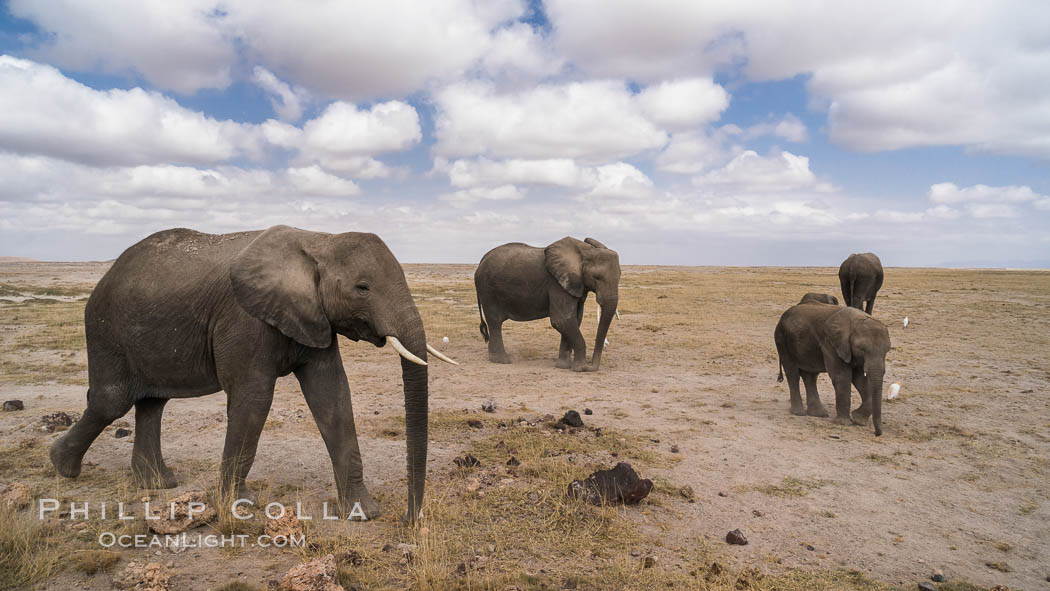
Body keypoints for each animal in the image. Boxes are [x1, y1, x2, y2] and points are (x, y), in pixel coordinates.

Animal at [50, 226, 455, 522]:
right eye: (363, 287)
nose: (409, 519)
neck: (319, 240)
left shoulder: (313, 317)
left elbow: (333, 395)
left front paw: (361, 514)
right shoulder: (245, 320)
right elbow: (254, 399)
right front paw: (239, 504)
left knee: (152, 402)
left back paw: (158, 484)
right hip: (105, 328)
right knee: (111, 401)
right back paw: (62, 467)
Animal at [478, 238, 617, 371]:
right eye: (597, 277)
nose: (590, 366)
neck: (585, 251)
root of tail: (481, 260)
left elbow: (575, 320)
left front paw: (564, 366)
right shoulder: (556, 284)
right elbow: (562, 320)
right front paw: (580, 368)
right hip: (488, 290)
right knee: (495, 322)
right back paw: (502, 361)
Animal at [776, 302, 890, 436]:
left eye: (887, 350)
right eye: (862, 348)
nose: (877, 433)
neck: (855, 321)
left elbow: (859, 379)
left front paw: (858, 420)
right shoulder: (831, 344)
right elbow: (842, 377)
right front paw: (845, 423)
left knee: (810, 376)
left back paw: (818, 414)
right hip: (782, 340)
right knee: (792, 373)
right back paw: (799, 413)